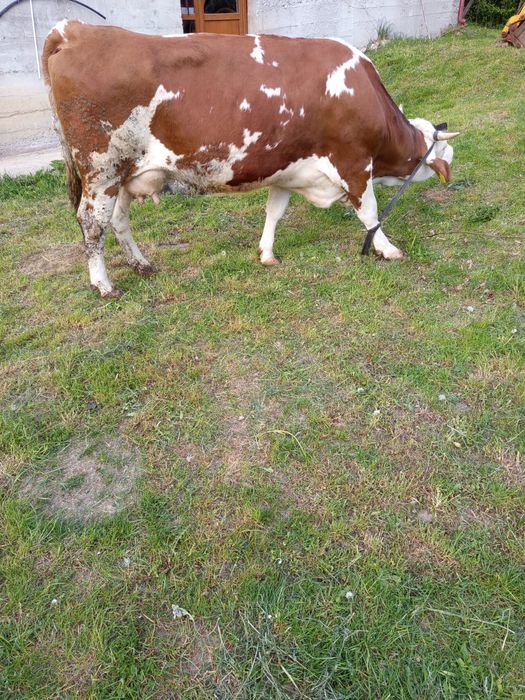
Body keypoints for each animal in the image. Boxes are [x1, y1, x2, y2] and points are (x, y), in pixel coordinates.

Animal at [43, 21, 459, 298]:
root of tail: (73, 30)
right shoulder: (354, 163)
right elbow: (370, 213)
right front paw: (387, 249)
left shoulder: (287, 169)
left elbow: (274, 212)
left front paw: (267, 253)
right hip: (101, 169)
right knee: (92, 224)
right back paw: (103, 284)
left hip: (126, 173)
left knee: (117, 221)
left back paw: (141, 264)